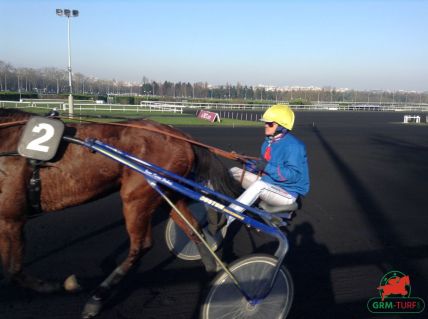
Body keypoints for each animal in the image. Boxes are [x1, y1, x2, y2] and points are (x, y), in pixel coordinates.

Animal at [0, 109, 241, 318]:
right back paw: (211, 266)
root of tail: (181, 136)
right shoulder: (8, 219)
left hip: (137, 196)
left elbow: (14, 270)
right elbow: (11, 268)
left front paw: (58, 285)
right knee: (192, 227)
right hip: (166, 194)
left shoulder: (13, 218)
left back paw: (96, 298)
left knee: (141, 245)